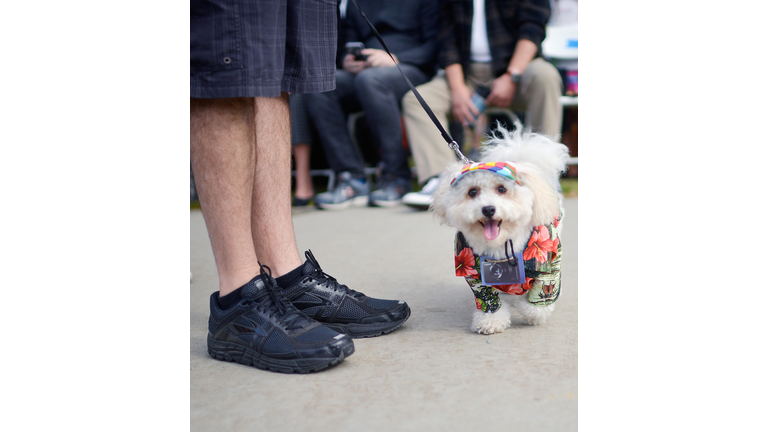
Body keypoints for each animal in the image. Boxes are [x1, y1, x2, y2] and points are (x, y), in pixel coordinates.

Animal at [432, 122, 568, 334]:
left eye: (502, 189)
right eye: (472, 192)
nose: (488, 209)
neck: (501, 242)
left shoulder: (548, 263)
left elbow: (541, 293)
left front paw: (531, 311)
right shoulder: (475, 273)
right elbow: (488, 300)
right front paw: (490, 321)